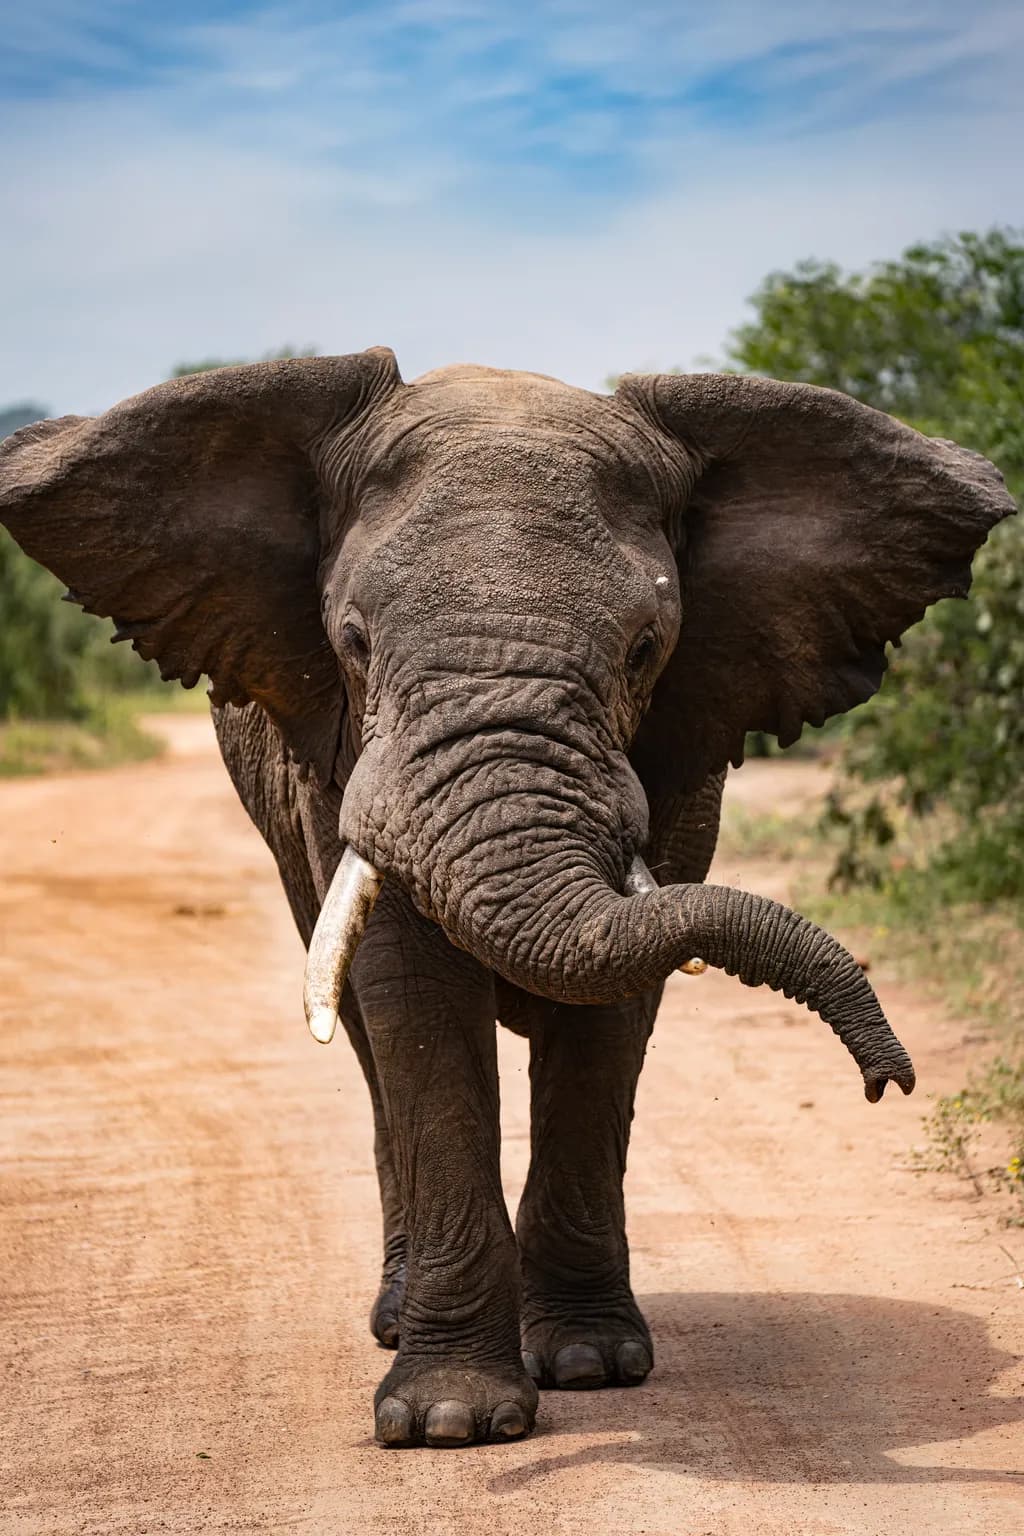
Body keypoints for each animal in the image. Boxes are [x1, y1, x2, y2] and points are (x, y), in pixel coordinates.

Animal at [0, 350, 1014, 1449]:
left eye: (645, 649)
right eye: (352, 642)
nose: (890, 1081)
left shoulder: (682, 753)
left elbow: (611, 1017)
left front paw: (590, 1367)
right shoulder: (347, 768)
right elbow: (416, 1004)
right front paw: (448, 1422)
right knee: (367, 1044)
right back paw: (396, 1318)